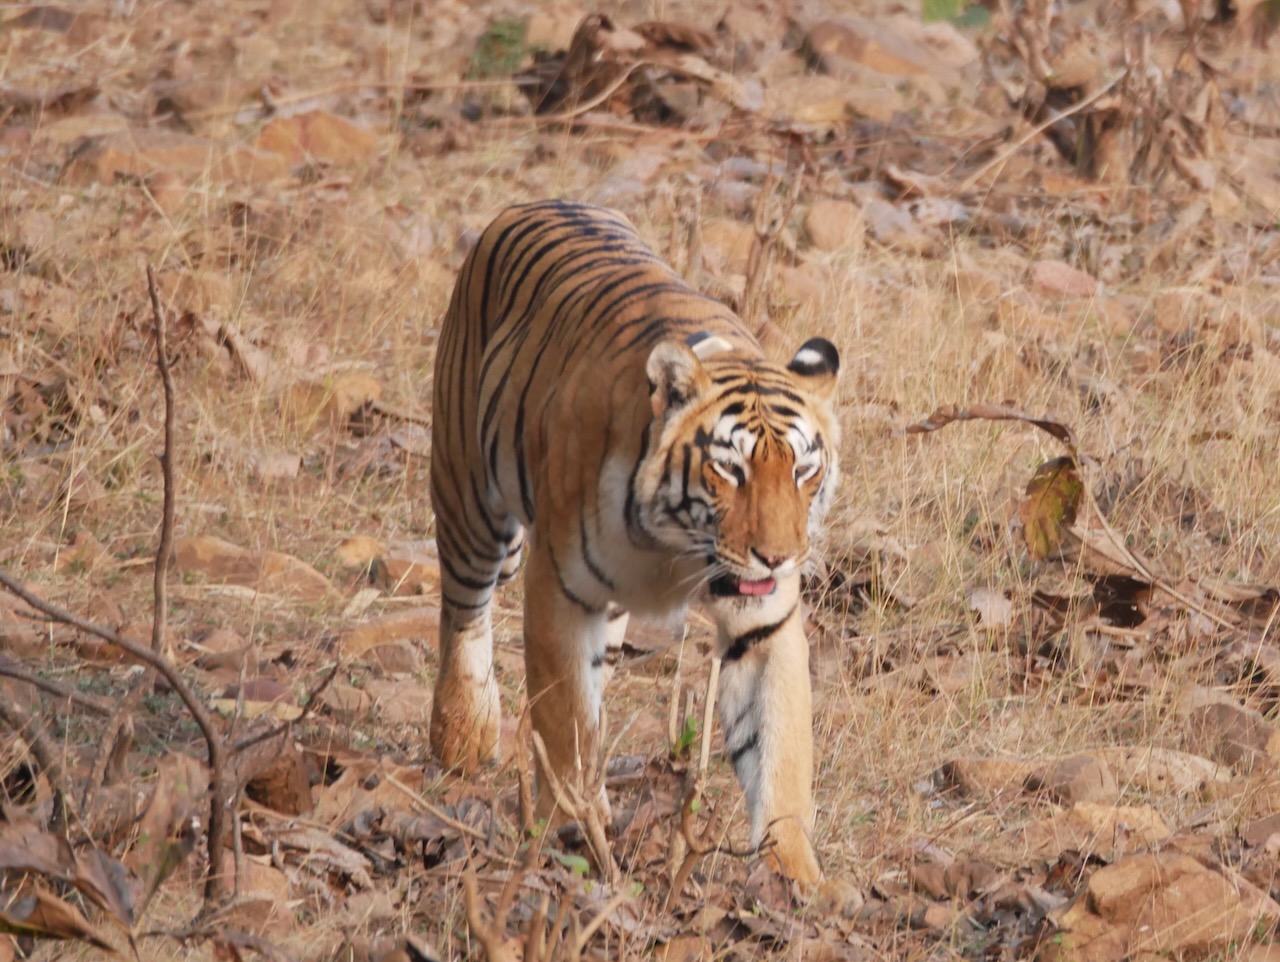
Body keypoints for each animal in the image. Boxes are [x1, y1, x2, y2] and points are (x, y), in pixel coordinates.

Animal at [428, 199, 840, 890]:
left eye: (803, 471)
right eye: (731, 470)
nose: (779, 557)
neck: (675, 548)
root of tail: (533, 202)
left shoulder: (764, 619)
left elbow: (780, 751)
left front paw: (797, 879)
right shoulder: (559, 591)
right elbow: (564, 724)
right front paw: (570, 833)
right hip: (470, 502)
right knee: (464, 612)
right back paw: (461, 733)